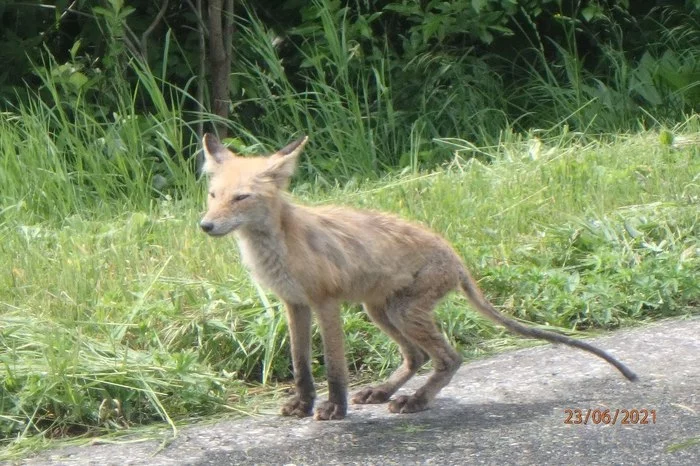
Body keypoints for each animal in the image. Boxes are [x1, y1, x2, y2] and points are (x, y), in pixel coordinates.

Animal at [200, 133, 636, 420]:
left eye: (241, 198)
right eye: (213, 195)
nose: (205, 226)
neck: (280, 248)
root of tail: (456, 256)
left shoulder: (325, 302)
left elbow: (335, 368)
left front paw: (334, 408)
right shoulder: (294, 303)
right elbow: (301, 365)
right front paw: (303, 404)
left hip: (402, 312)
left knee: (449, 358)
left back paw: (417, 401)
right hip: (379, 311)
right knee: (418, 356)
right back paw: (384, 391)